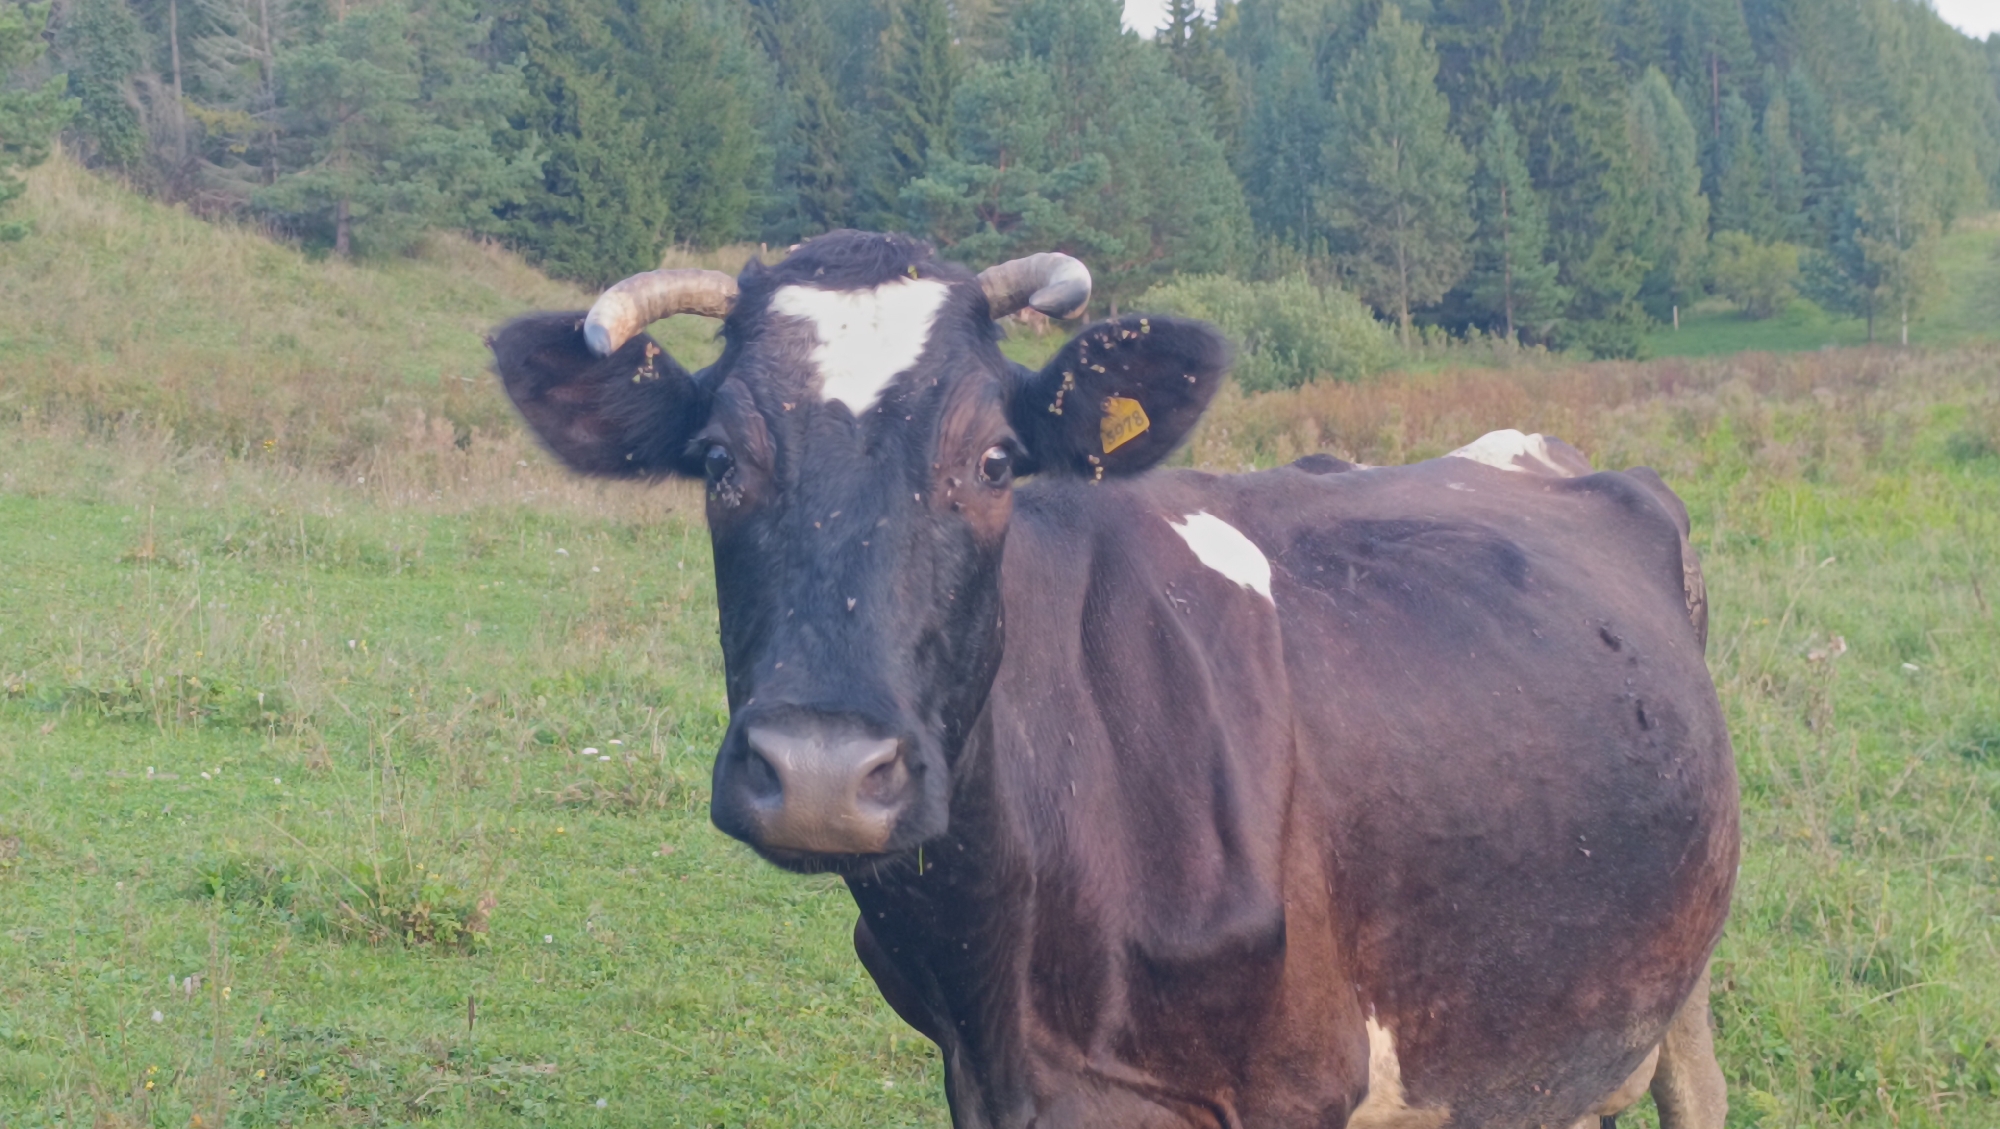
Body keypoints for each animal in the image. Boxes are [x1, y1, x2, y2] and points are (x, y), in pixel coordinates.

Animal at [488, 230, 1739, 1129]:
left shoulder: (1291, 1083)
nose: (821, 775)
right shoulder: (976, 1073)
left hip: (1669, 983)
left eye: (995, 461)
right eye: (715, 462)